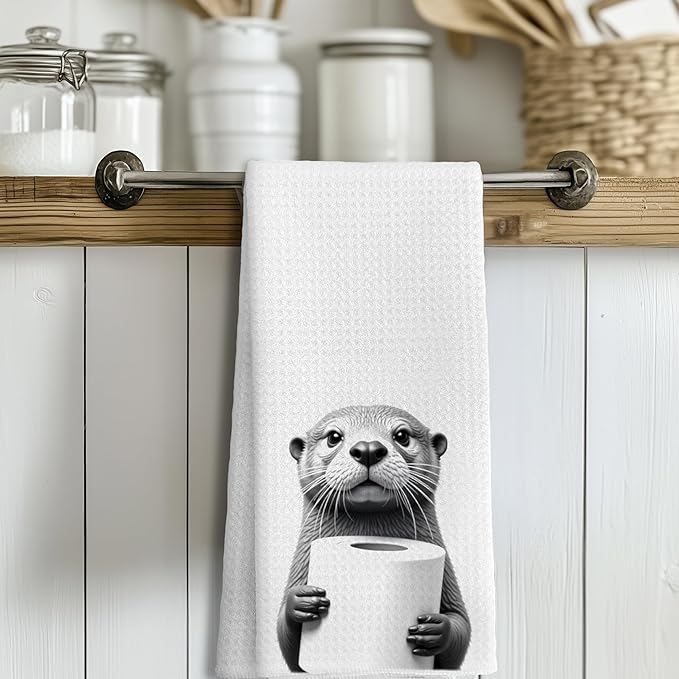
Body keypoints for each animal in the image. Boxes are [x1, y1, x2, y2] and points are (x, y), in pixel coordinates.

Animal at [277, 405, 471, 672]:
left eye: (402, 436)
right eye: (333, 437)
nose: (368, 448)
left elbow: (460, 631)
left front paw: (434, 630)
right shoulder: (301, 565)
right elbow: (286, 642)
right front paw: (301, 602)